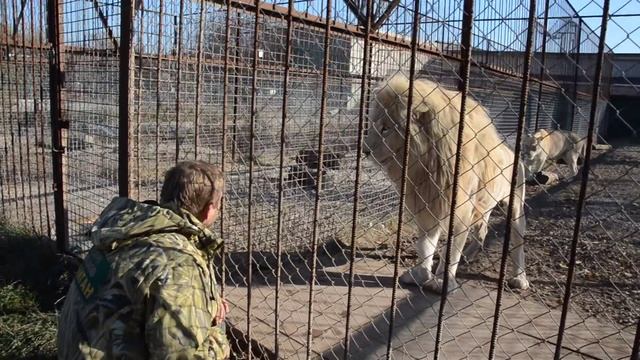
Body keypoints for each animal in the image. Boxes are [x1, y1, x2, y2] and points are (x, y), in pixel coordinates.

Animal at [364, 74, 528, 294]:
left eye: (385, 129)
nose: (364, 150)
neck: (425, 167)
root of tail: (512, 152)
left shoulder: (460, 210)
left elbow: (450, 249)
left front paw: (443, 281)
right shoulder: (428, 204)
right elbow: (425, 245)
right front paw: (420, 275)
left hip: (515, 203)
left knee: (518, 239)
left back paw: (519, 278)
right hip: (483, 205)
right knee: (482, 230)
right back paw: (469, 255)